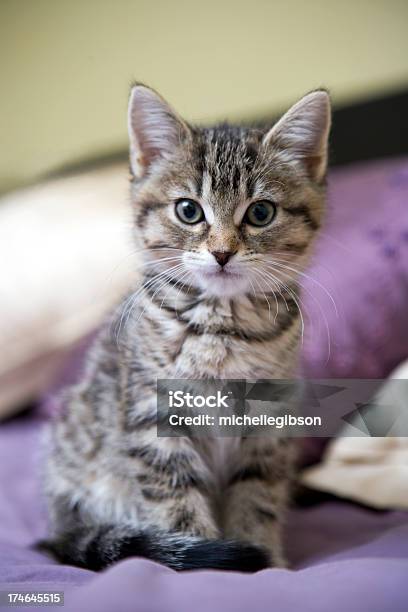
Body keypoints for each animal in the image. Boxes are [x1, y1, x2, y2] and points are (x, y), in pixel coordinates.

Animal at [41, 83, 330, 572]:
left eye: (261, 213)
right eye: (189, 211)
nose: (222, 252)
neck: (223, 326)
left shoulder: (268, 423)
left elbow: (257, 497)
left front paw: (265, 558)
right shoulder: (153, 416)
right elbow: (177, 502)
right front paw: (208, 562)